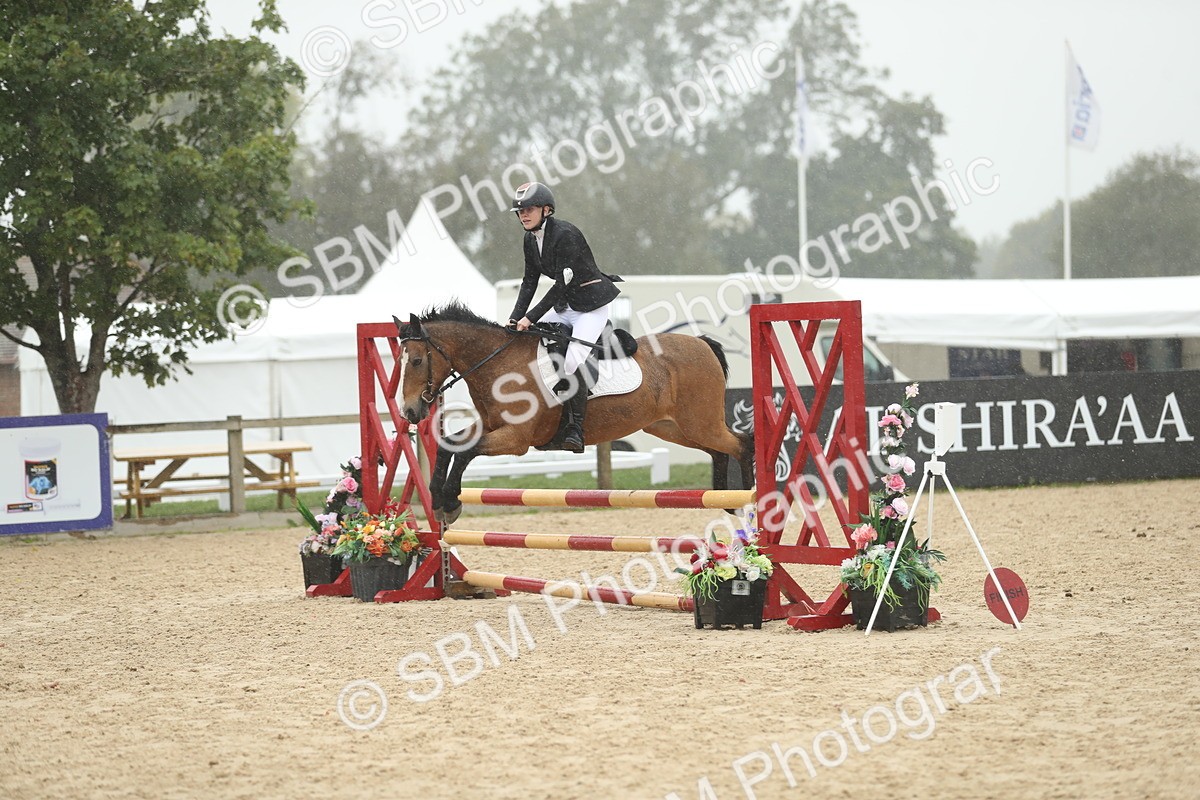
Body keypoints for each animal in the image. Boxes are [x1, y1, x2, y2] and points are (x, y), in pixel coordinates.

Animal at [395, 301, 754, 525]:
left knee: (741, 444)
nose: (410, 411)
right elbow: (449, 445)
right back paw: (727, 500)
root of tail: (703, 343)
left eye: (417, 361)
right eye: (401, 361)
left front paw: (450, 501)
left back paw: (750, 502)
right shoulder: (492, 427)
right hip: (672, 428)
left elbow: (466, 451)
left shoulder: (516, 439)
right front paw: (439, 500)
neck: (497, 362)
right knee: (719, 451)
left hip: (699, 423)